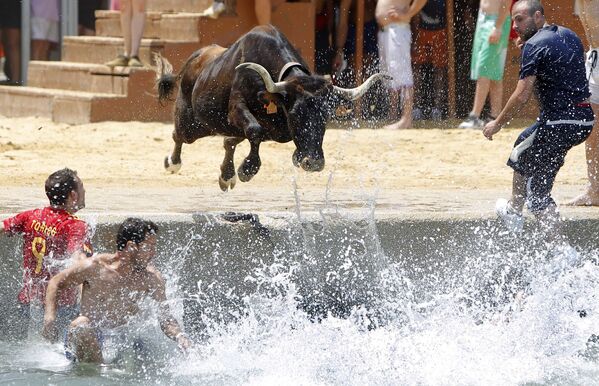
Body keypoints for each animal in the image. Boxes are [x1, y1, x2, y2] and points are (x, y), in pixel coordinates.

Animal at [156, 24, 390, 191]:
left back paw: (226, 176)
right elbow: (254, 130)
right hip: (193, 124)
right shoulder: (237, 108)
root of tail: (196, 58)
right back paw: (173, 162)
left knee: (228, 141)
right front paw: (248, 169)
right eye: (295, 114)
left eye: (325, 117)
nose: (313, 163)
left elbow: (245, 137)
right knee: (179, 135)